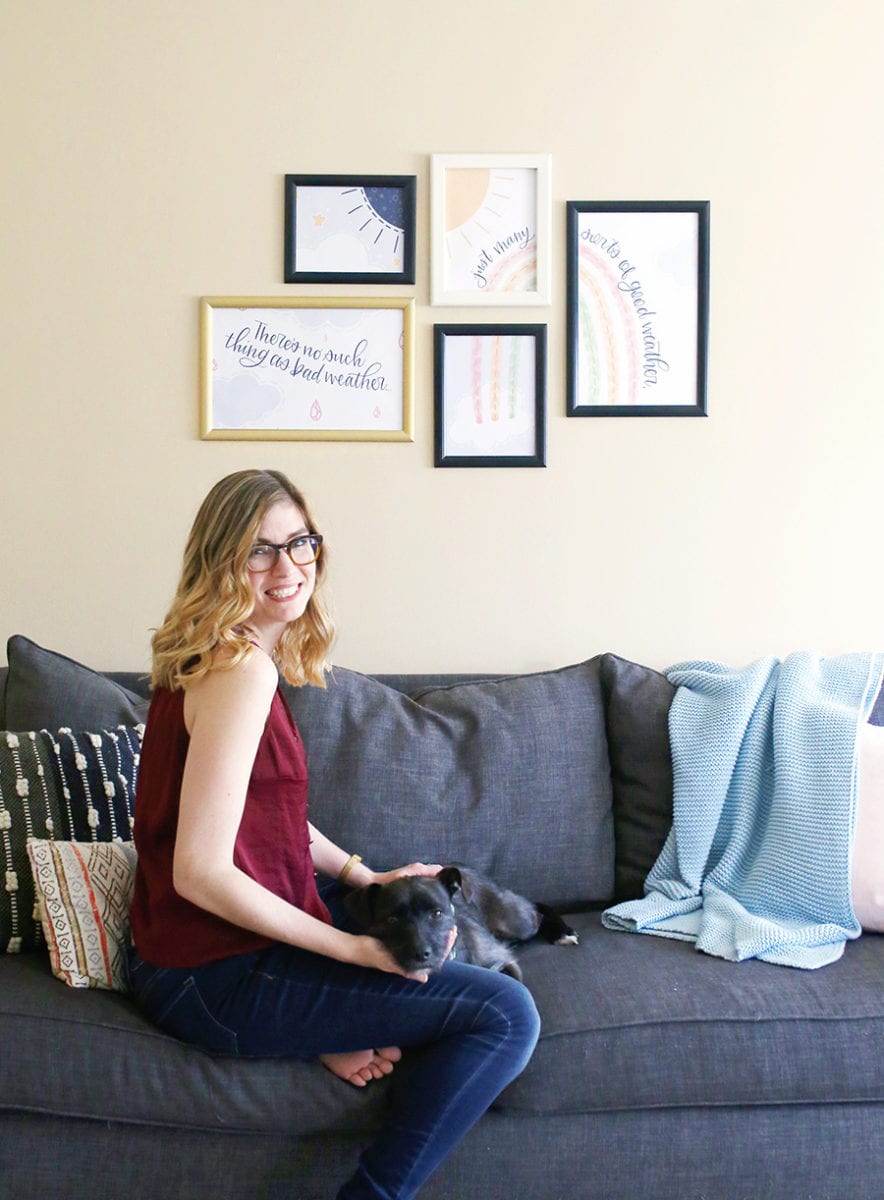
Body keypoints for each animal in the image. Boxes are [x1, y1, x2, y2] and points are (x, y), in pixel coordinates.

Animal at [340, 868, 575, 979]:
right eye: (391, 919)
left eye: (437, 913)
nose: (421, 954)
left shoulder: (503, 961)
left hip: (515, 921)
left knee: (539, 911)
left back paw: (562, 932)